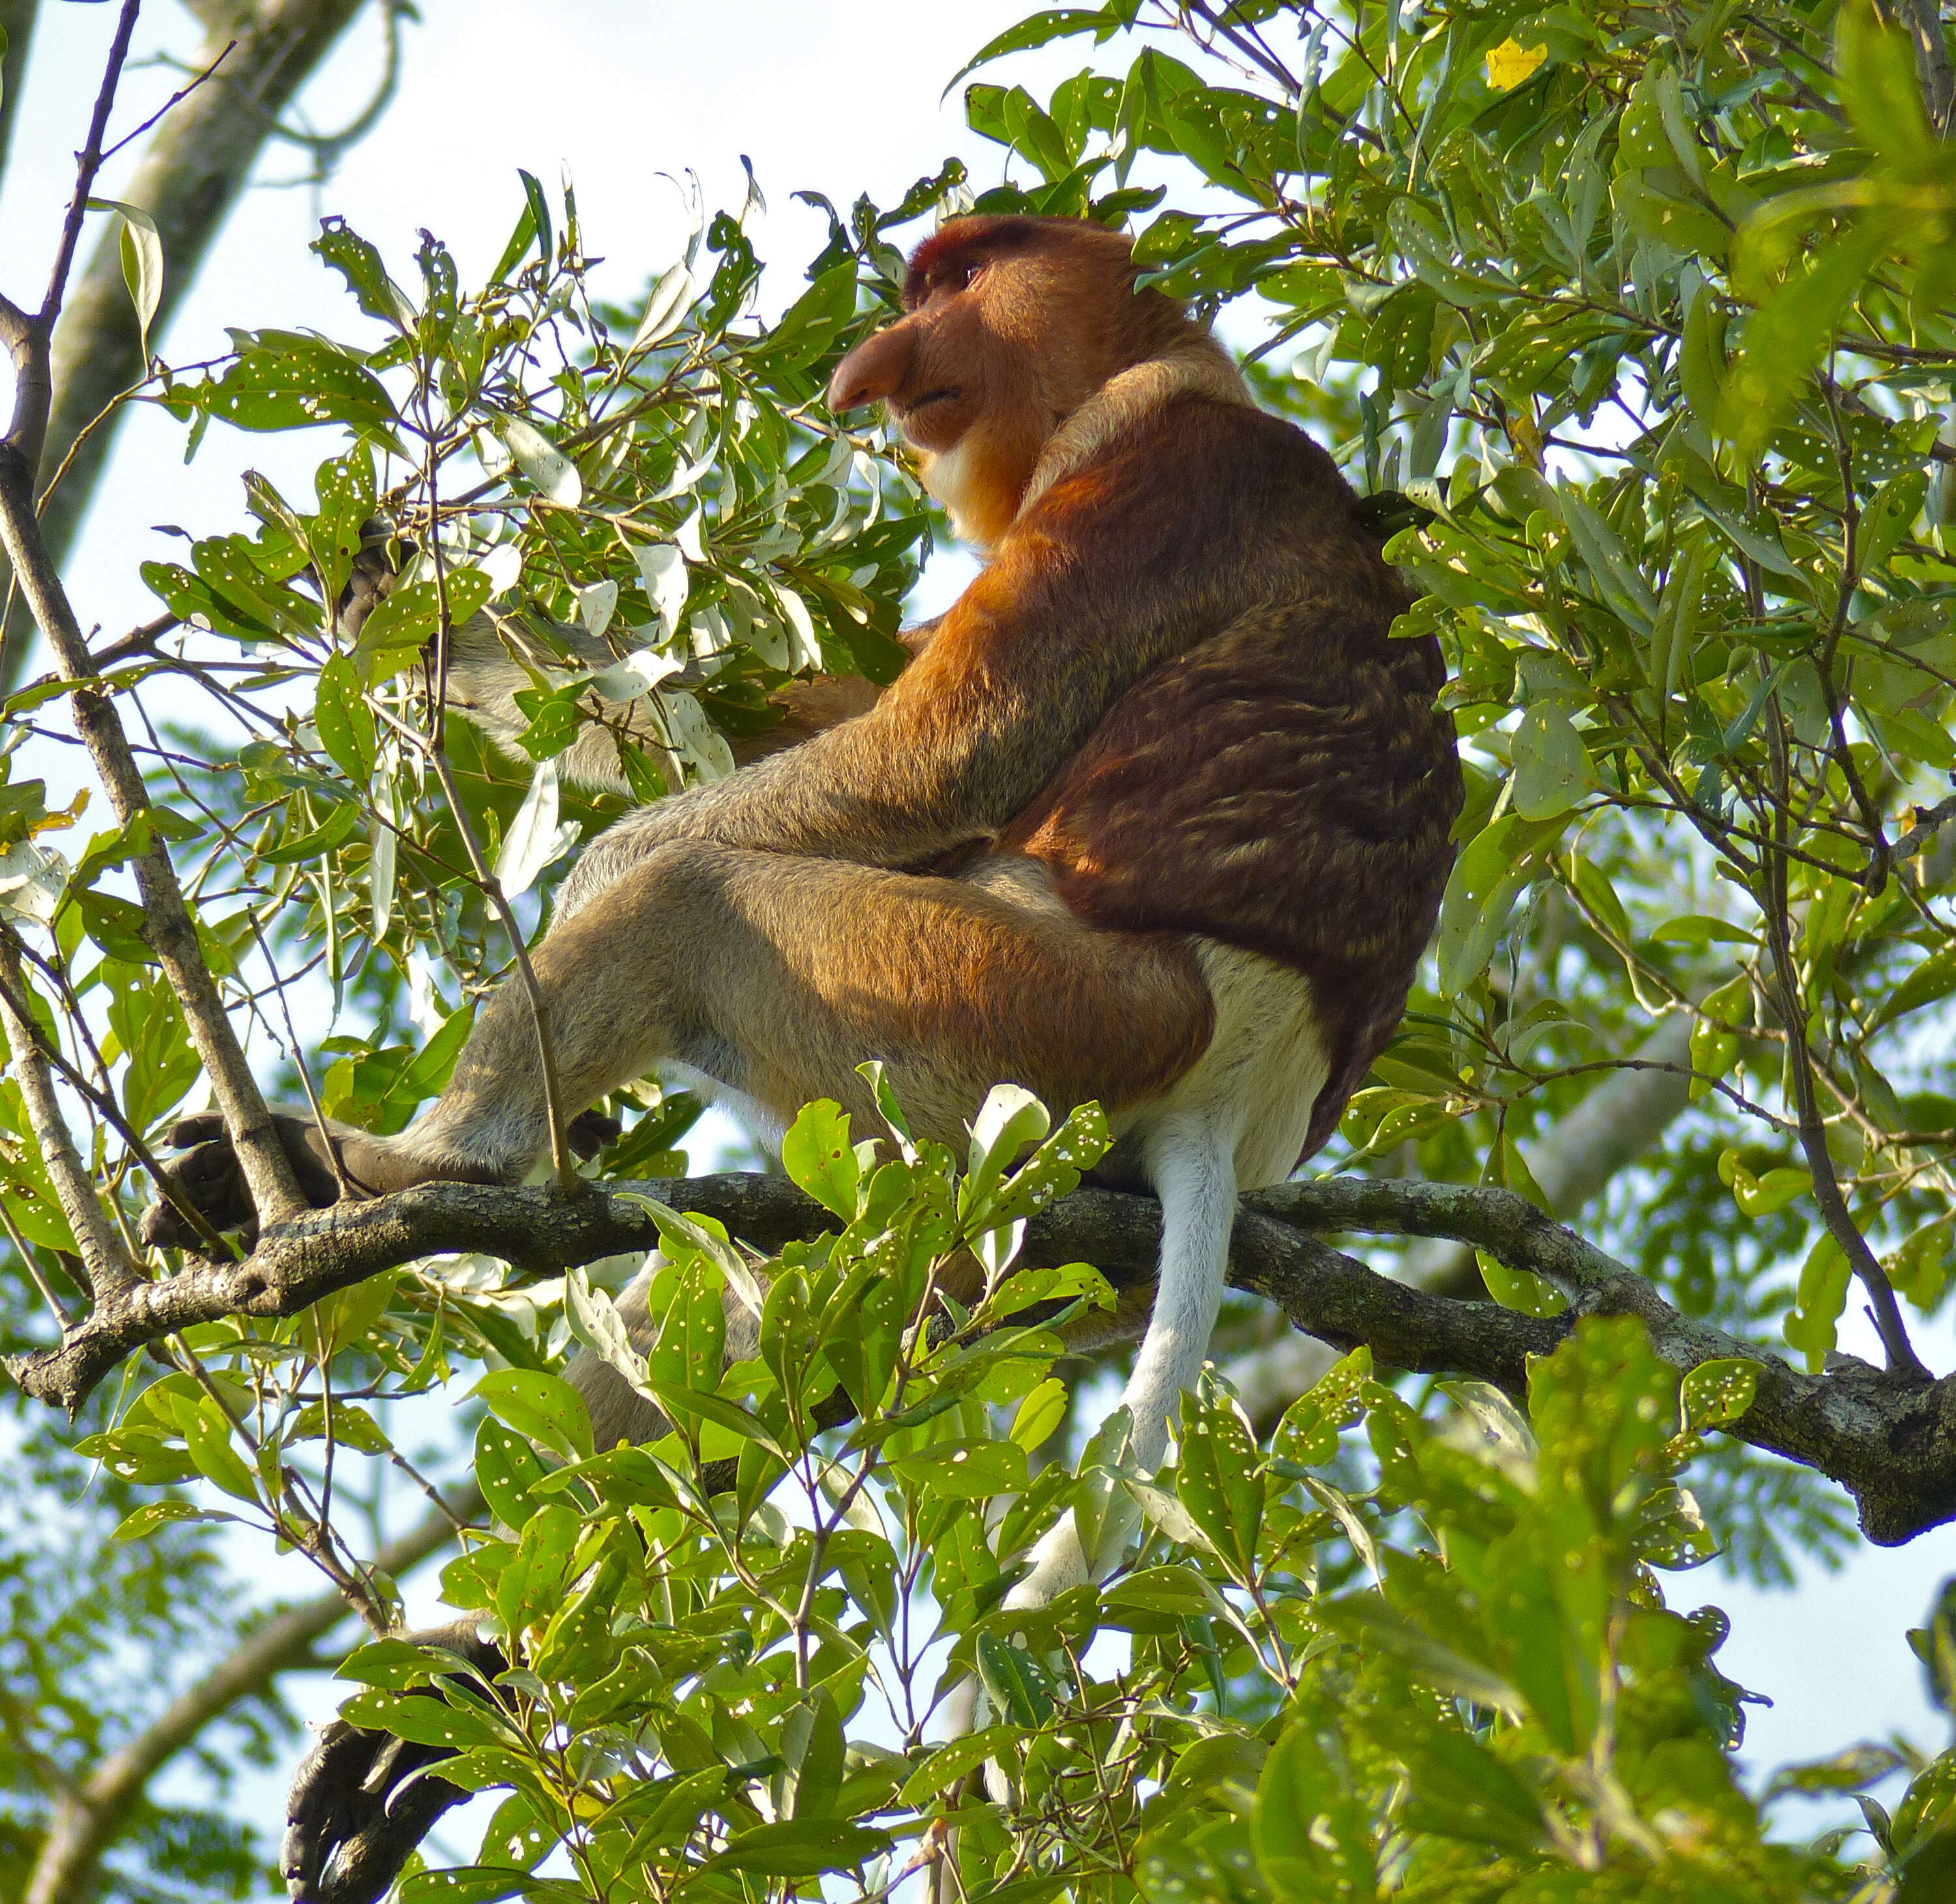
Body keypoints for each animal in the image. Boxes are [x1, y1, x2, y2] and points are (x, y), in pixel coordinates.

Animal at [153, 220, 1463, 1904]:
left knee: (699, 902)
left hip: (1011, 1007)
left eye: (952, 282)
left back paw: (393, 1170)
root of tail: (1241, 1097)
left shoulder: (1154, 466)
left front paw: (582, 864)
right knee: (801, 1306)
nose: (869, 374)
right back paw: (465, 1682)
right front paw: (402, 593)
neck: (1171, 372)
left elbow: (925, 751)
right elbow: (774, 709)